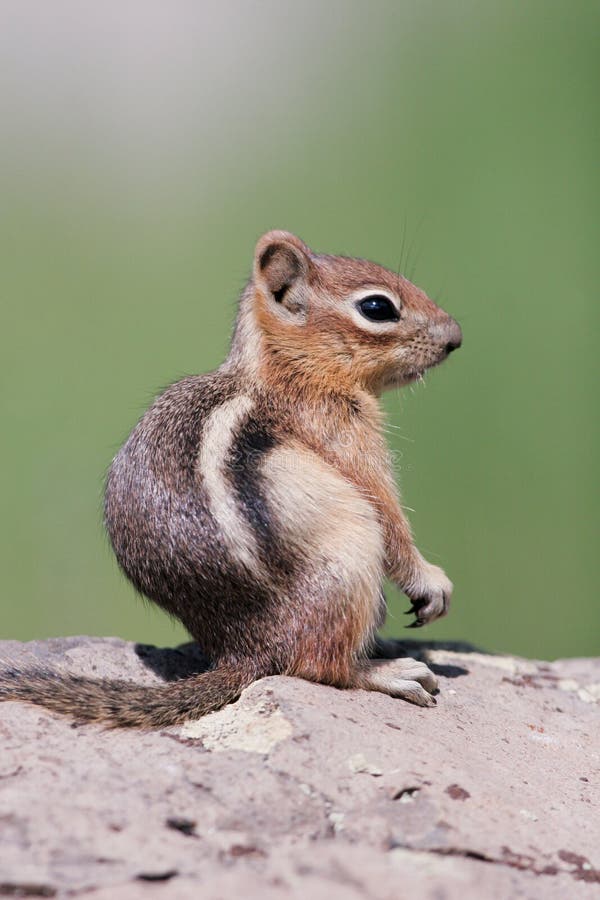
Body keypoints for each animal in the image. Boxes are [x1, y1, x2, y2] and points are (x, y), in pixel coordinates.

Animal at [0, 230, 462, 724]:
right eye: (377, 307)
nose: (456, 337)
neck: (288, 369)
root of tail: (247, 650)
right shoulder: (344, 434)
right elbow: (388, 515)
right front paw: (431, 581)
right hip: (350, 555)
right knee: (318, 664)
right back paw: (389, 672)